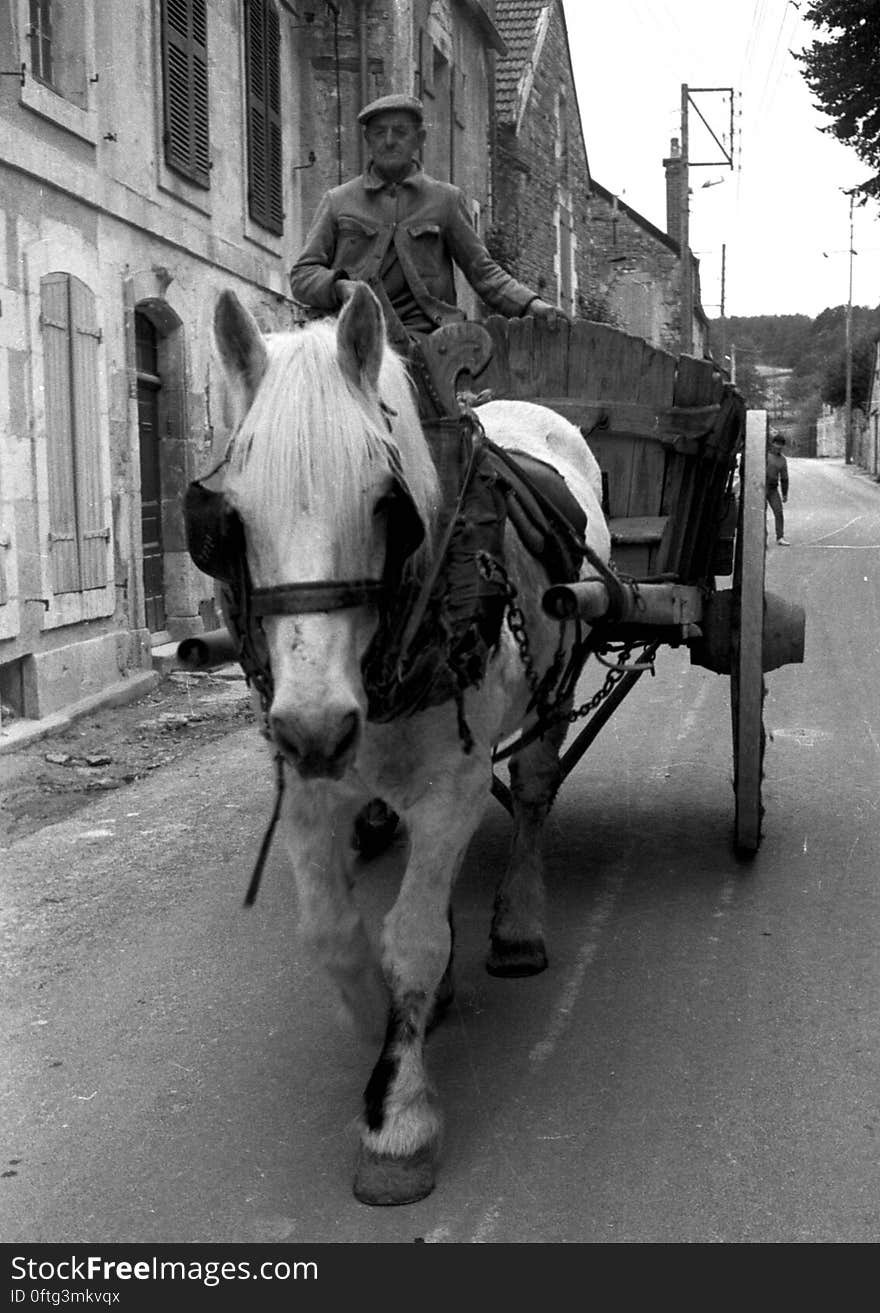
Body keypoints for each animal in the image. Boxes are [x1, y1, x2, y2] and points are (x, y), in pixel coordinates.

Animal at [214, 282, 614, 1202]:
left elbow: (414, 939)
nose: (317, 726)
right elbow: (333, 930)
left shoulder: (453, 785)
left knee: (532, 792)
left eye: (383, 503)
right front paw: (375, 1016)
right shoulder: (308, 783)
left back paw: (516, 924)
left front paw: (396, 1116)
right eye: (229, 517)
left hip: (559, 673)